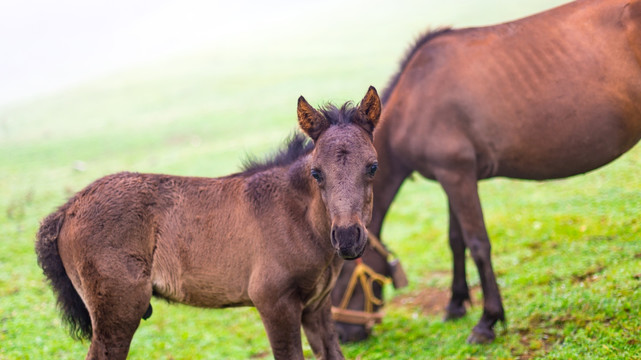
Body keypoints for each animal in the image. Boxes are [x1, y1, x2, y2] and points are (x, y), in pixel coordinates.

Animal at [36, 87, 380, 360]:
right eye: (316, 172)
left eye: (373, 166)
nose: (347, 237)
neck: (297, 218)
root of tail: (66, 210)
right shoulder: (274, 302)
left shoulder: (317, 306)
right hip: (118, 311)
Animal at [332, 0, 640, 344]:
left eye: (339, 271)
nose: (343, 334)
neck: (415, 99)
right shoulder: (452, 177)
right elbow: (456, 241)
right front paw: (455, 305)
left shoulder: (457, 175)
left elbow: (478, 243)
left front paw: (487, 321)